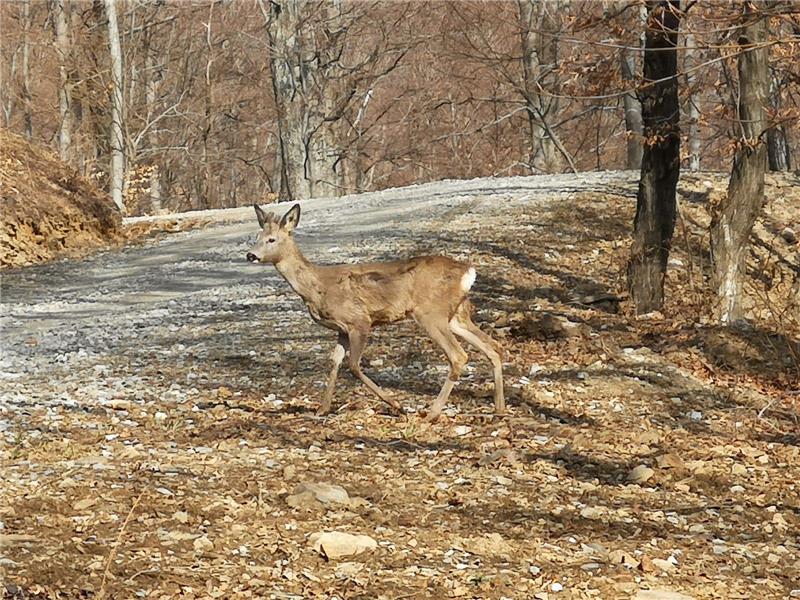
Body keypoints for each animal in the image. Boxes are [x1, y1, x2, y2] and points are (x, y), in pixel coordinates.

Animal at [247, 203, 504, 422]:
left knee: (459, 355)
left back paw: (432, 413)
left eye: (271, 239)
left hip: (431, 313)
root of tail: (468, 272)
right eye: (255, 237)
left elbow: (353, 365)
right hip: (456, 315)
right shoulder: (341, 330)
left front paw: (396, 405)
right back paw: (499, 408)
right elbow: (334, 362)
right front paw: (322, 409)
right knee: (494, 346)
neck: (316, 288)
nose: (250, 255)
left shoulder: (359, 320)